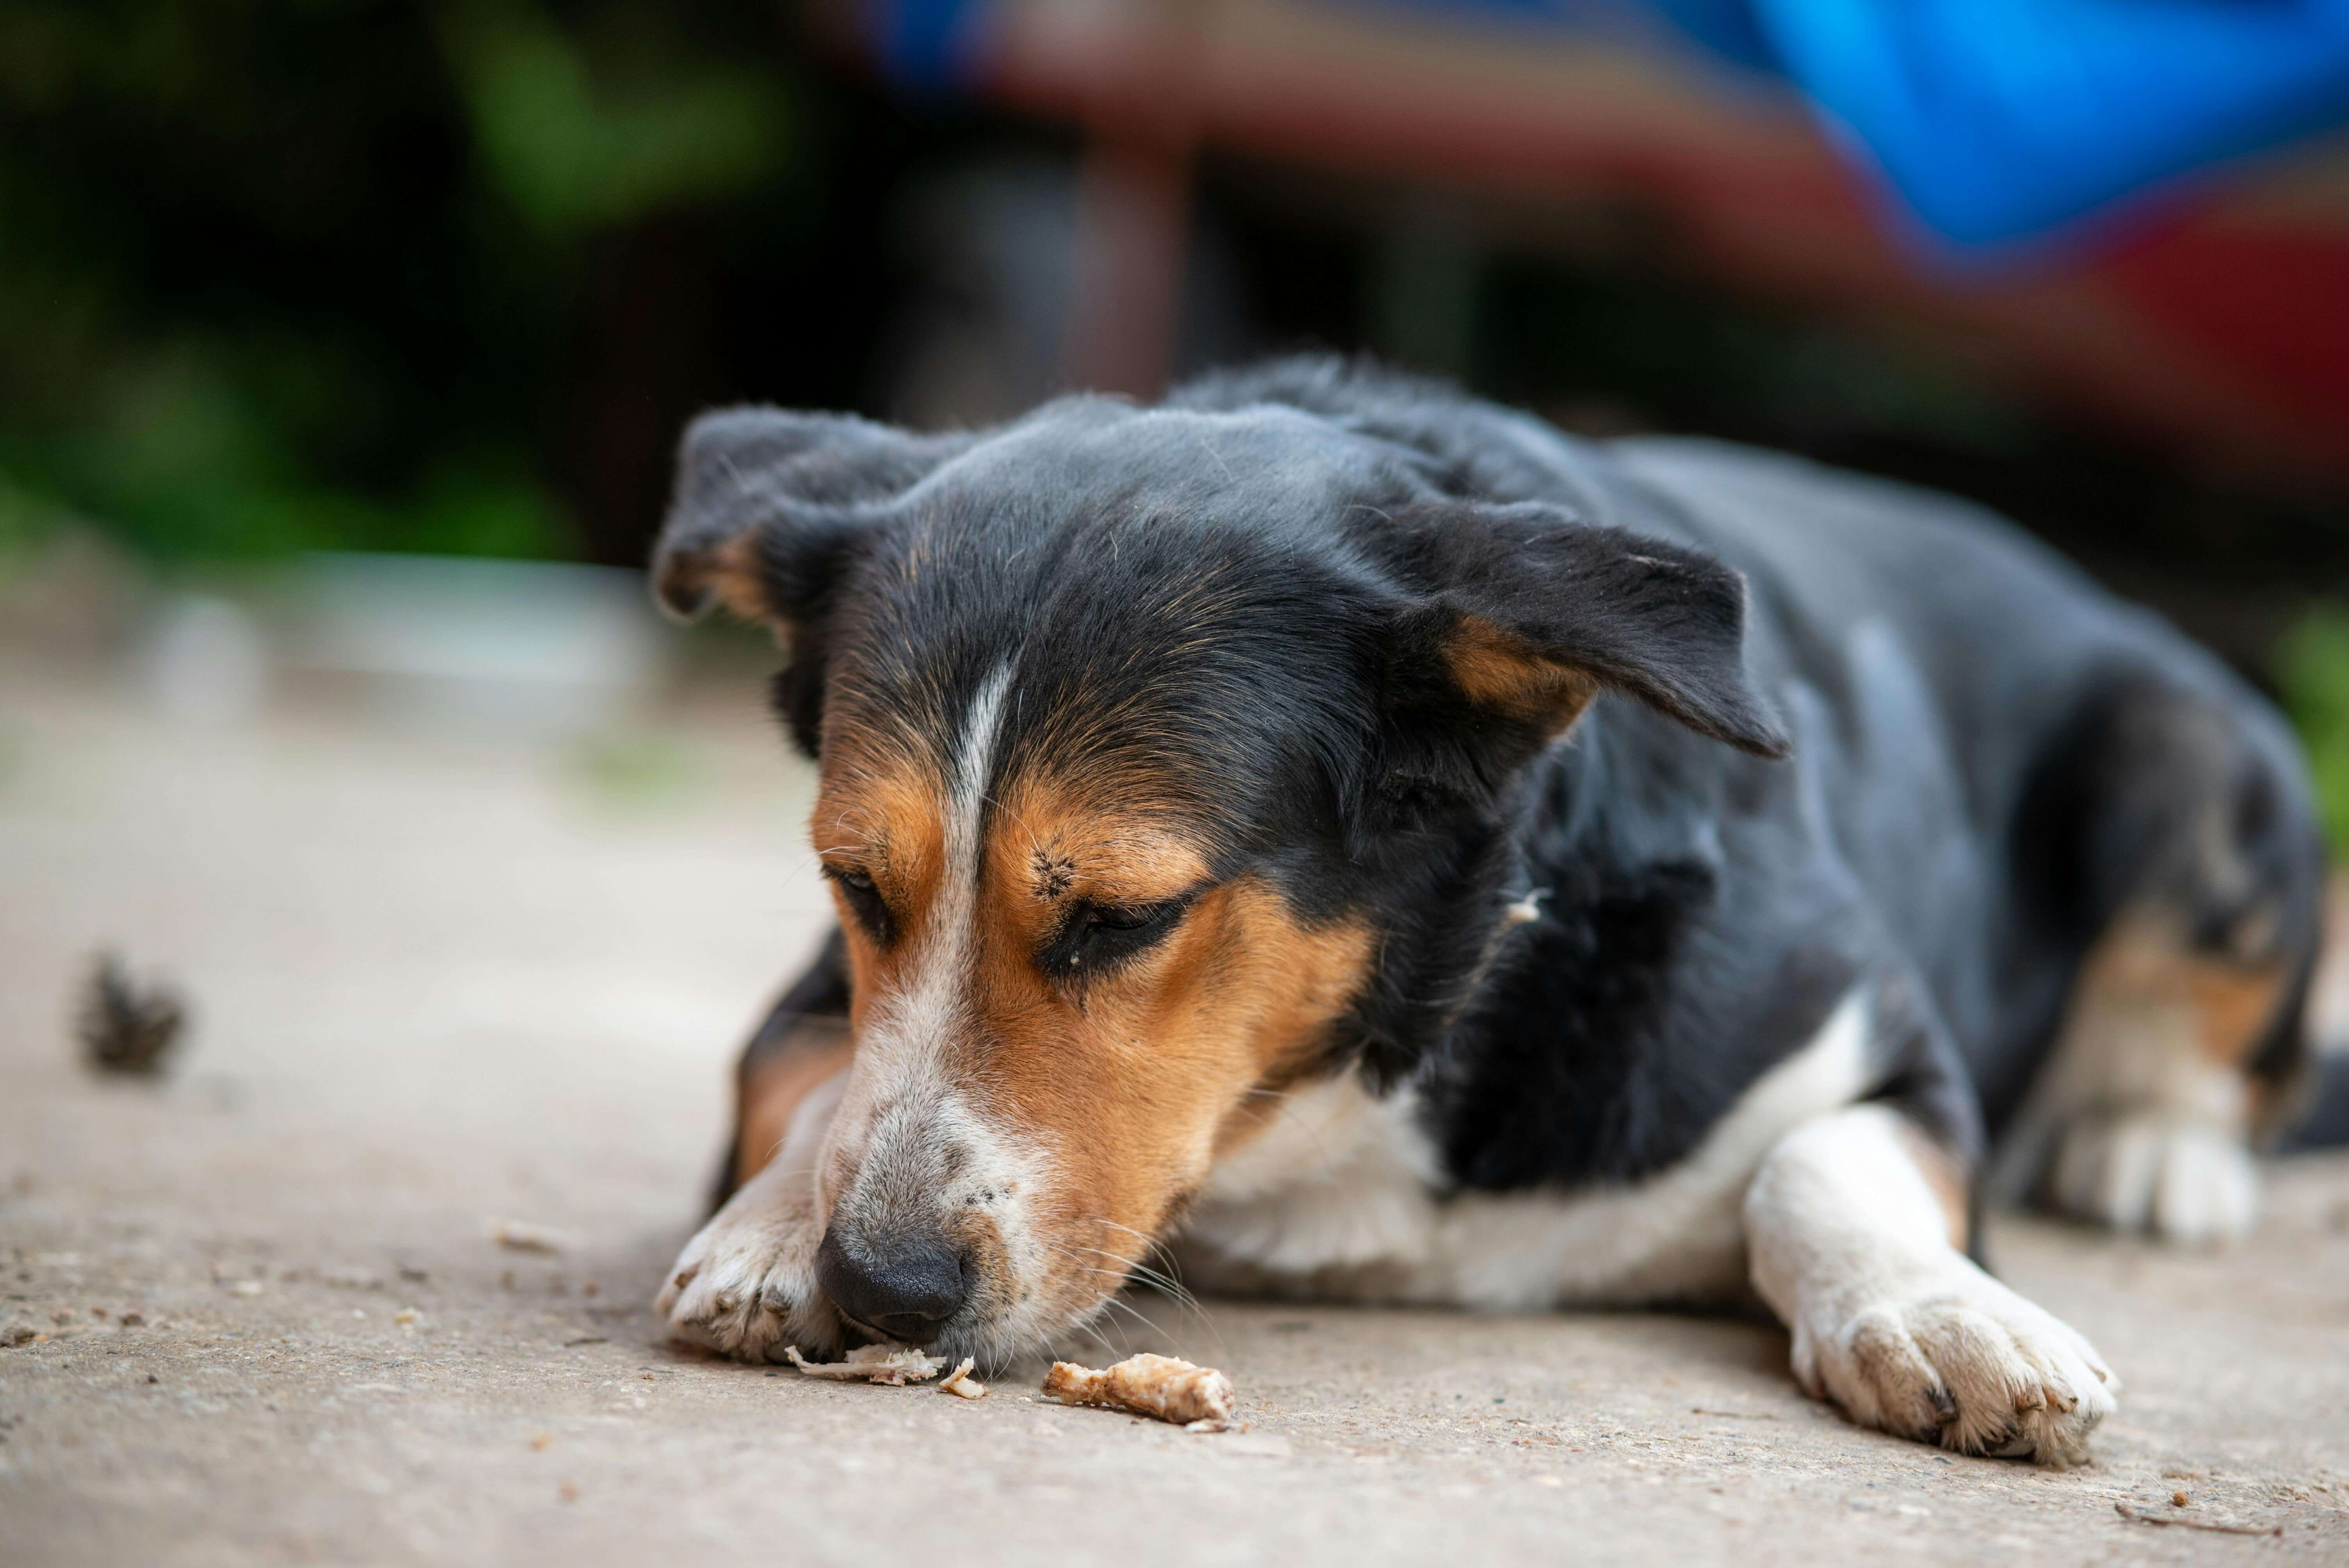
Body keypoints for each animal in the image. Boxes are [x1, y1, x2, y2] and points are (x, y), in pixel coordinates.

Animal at [653, 361, 2320, 1465]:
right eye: (856, 884)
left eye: (1126, 918)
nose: (882, 1286)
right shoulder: (809, 993)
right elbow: (809, 1075)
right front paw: (764, 1229)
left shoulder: (1871, 1028)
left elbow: (1815, 1160)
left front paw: (1933, 1310)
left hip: (2185, 752)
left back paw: (2149, 1151)